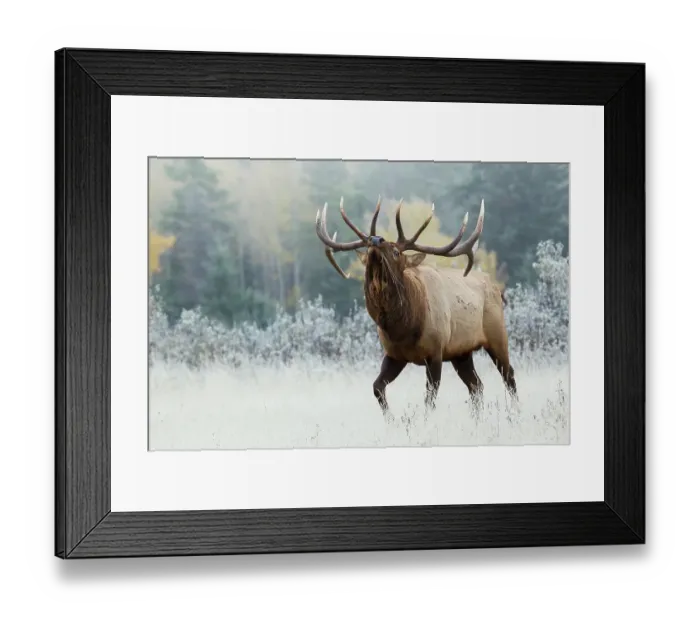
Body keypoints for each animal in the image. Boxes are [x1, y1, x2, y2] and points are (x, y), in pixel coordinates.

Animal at [314, 195, 517, 415]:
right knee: (476, 385)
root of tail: (498, 289)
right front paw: (391, 419)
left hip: (497, 335)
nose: (376, 239)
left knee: (509, 376)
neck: (404, 329)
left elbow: (429, 400)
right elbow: (377, 387)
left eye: (396, 251)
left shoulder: (435, 352)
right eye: (368, 249)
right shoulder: (395, 355)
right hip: (461, 352)